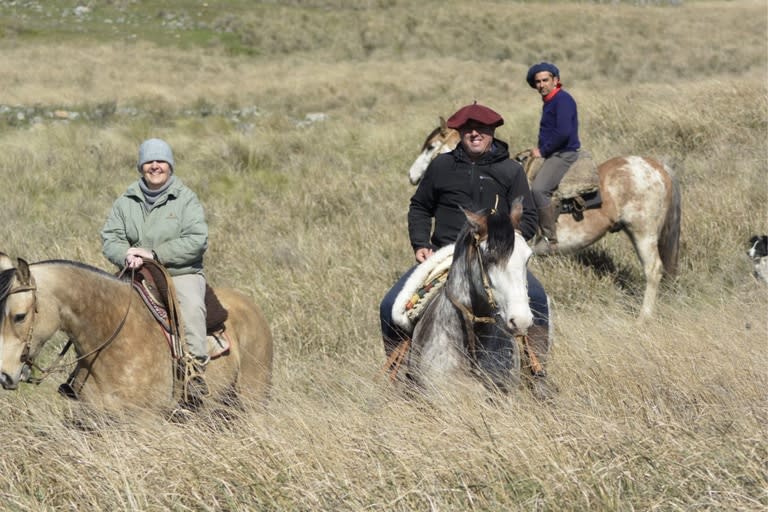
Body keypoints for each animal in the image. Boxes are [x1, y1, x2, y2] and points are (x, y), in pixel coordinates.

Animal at [408, 120, 684, 320]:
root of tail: (656, 167)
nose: (412, 175)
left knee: (653, 270)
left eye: (431, 146)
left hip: (643, 233)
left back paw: (643, 318)